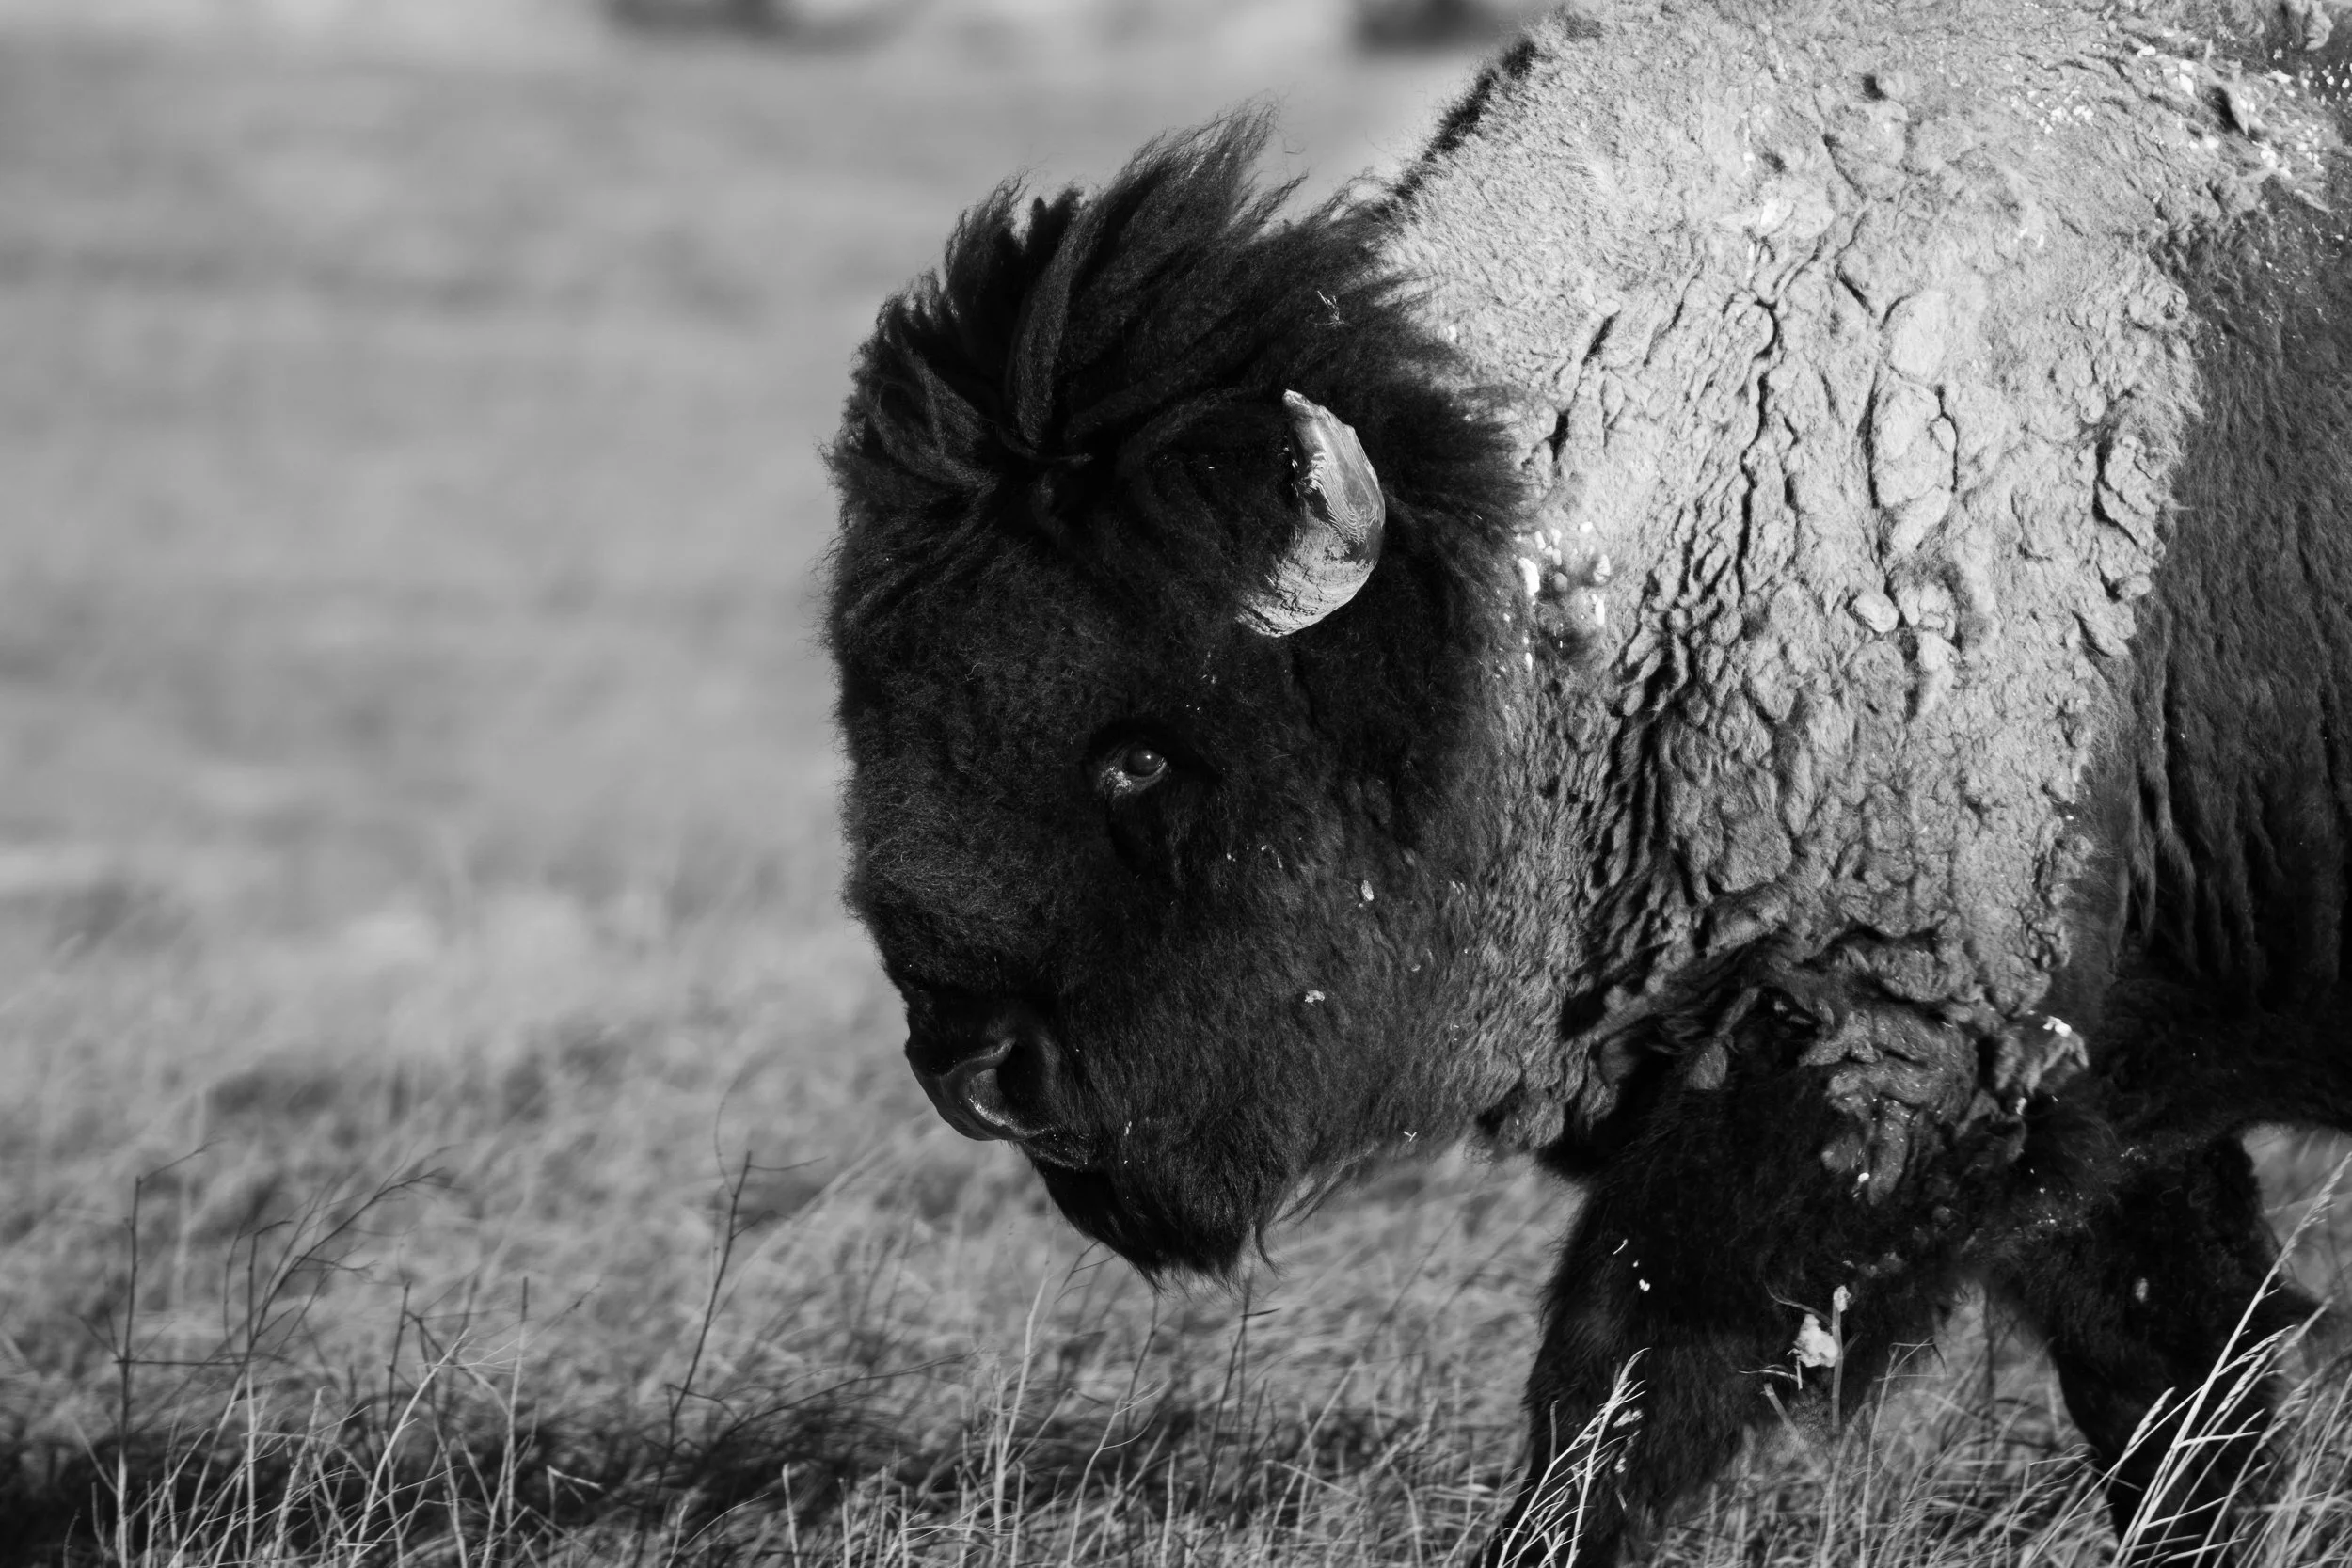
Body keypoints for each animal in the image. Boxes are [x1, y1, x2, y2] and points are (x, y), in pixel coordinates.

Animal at [824, 0, 2352, 1561]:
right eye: (877, 713)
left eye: (1139, 751)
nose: (972, 1065)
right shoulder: (2095, 1079)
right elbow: (2168, 1363)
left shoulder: (1889, 1043)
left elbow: (1634, 1361)